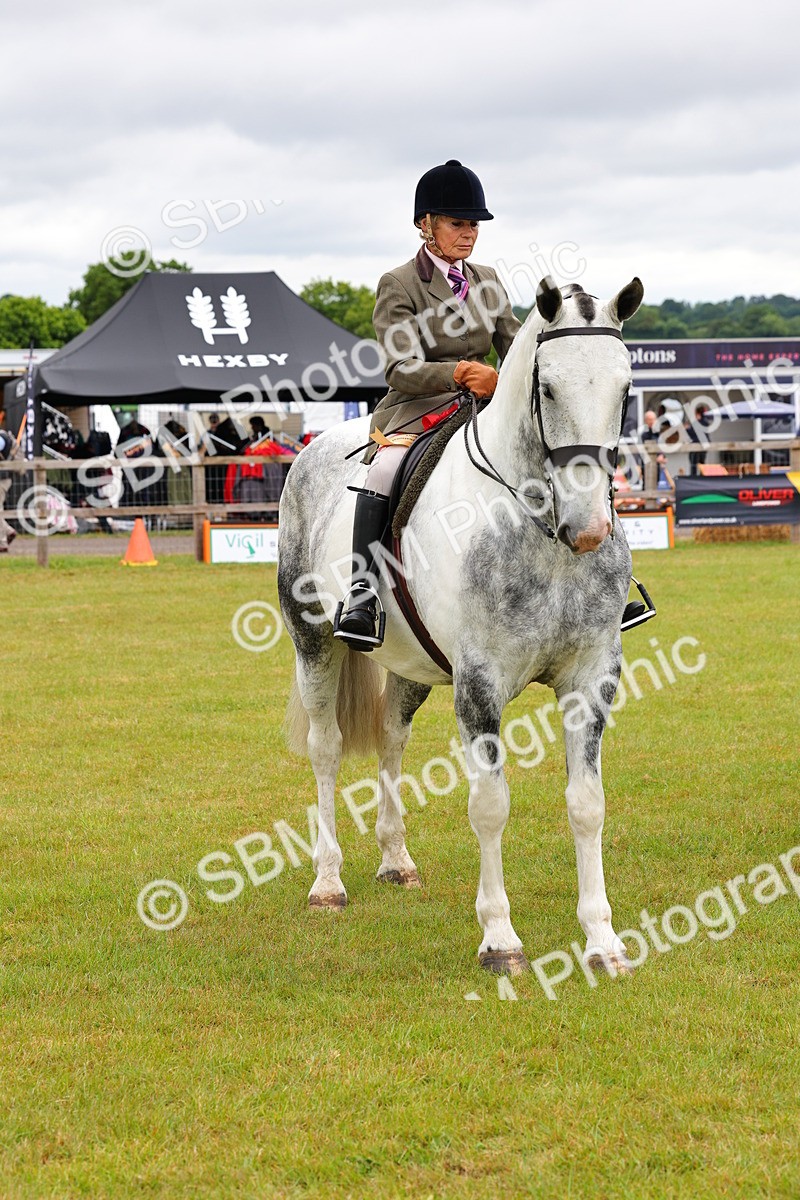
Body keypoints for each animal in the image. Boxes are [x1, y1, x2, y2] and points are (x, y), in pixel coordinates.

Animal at [277, 275, 644, 976]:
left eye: (625, 388)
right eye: (548, 388)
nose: (588, 529)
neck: (539, 529)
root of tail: (318, 447)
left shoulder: (591, 677)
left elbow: (588, 805)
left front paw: (603, 942)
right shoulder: (480, 684)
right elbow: (491, 806)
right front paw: (500, 940)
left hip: (412, 664)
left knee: (390, 737)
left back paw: (396, 861)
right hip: (313, 643)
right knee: (325, 747)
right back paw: (328, 882)